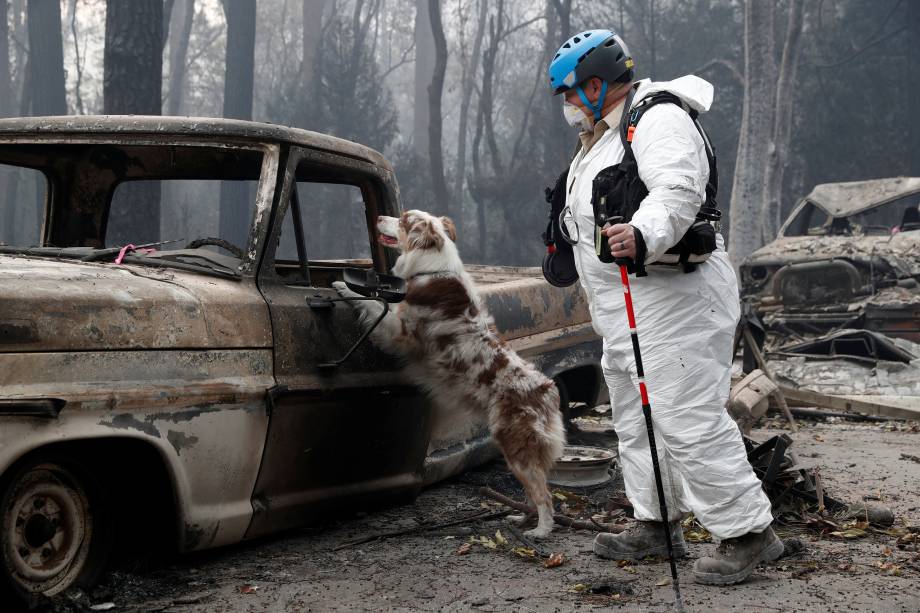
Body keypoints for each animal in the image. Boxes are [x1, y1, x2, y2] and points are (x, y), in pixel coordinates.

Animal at [334, 209, 564, 536]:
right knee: (533, 493)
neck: (431, 266)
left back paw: (541, 531)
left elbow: (374, 303)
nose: (377, 217)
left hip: (515, 446)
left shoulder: (400, 333)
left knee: (544, 495)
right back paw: (520, 519)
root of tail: (547, 391)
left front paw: (342, 287)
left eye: (403, 219)